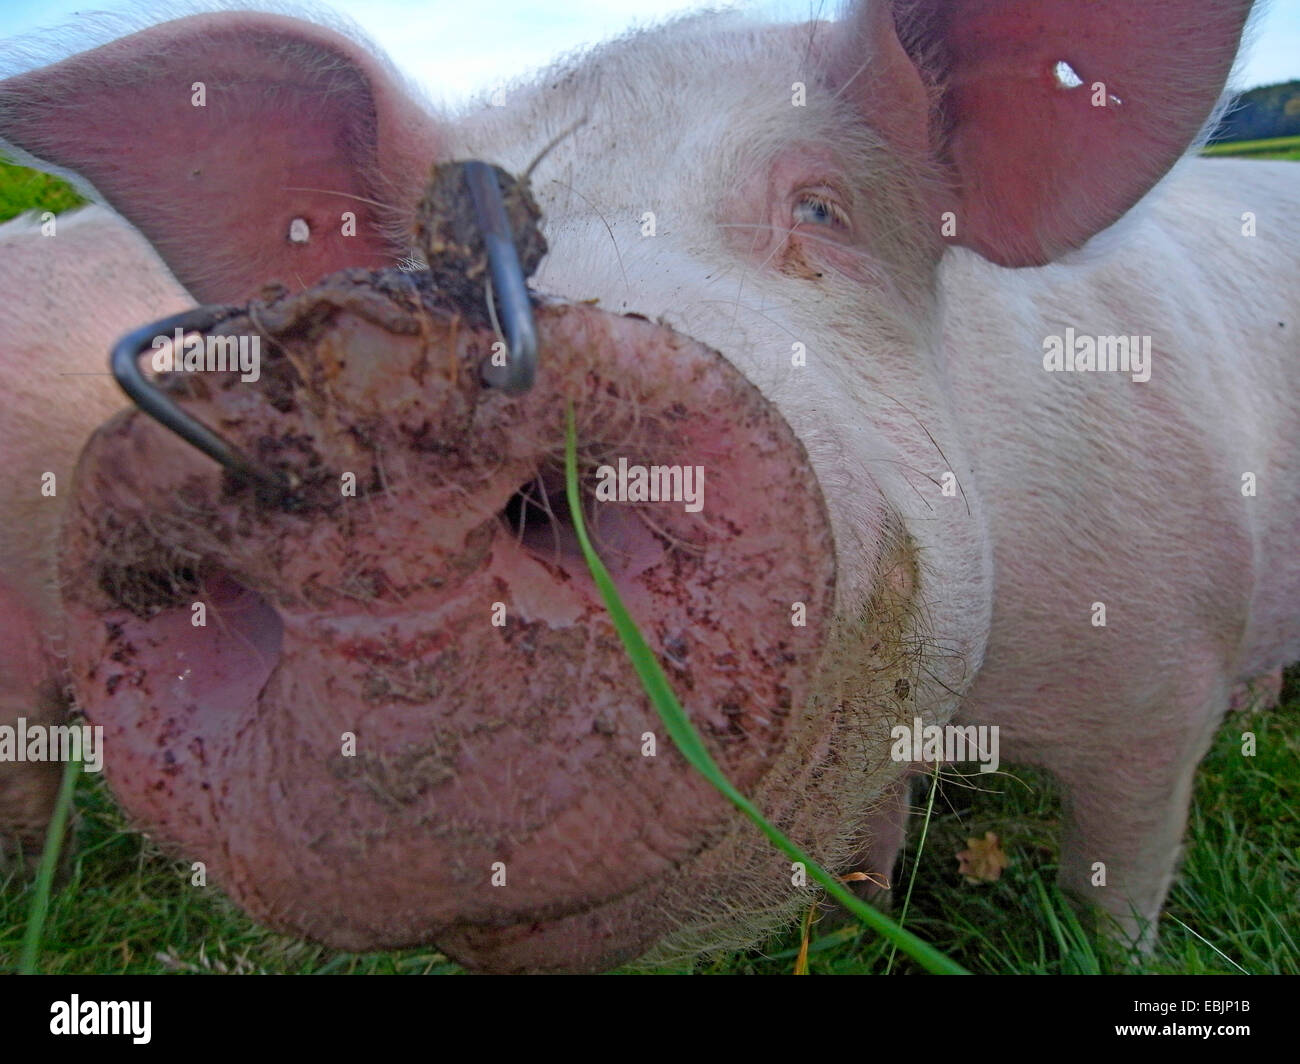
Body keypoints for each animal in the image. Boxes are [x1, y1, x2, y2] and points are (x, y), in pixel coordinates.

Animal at [0, 0, 1296, 973]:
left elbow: (1118, 870)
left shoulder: (1161, 676)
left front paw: (1118, 952)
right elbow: (869, 847)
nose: (376, 395)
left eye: (820, 207)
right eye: (420, 255)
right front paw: (856, 920)